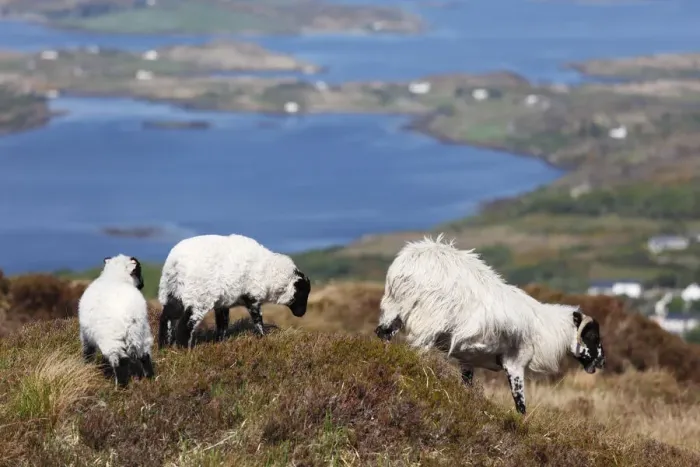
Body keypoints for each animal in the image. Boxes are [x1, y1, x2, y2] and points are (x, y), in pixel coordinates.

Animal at [78, 254, 155, 388]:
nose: (142, 285)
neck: (115, 277)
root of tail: (131, 314)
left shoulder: (85, 334)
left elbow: (88, 351)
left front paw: (86, 365)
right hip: (142, 331)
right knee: (145, 354)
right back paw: (150, 378)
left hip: (112, 337)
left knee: (120, 360)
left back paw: (121, 386)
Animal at [157, 233, 311, 349]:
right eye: (302, 293)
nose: (302, 313)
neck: (269, 273)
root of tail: (176, 263)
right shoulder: (253, 297)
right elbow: (257, 320)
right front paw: (263, 338)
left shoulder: (223, 303)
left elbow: (222, 325)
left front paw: (220, 343)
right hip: (199, 296)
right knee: (186, 324)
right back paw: (186, 350)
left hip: (172, 292)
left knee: (167, 318)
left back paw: (166, 348)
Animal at [374, 234, 605, 415]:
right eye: (592, 336)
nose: (602, 363)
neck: (545, 329)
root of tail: (407, 264)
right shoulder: (514, 363)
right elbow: (520, 405)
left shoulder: (467, 360)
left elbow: (467, 388)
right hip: (426, 325)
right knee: (415, 354)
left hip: (394, 309)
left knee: (383, 334)